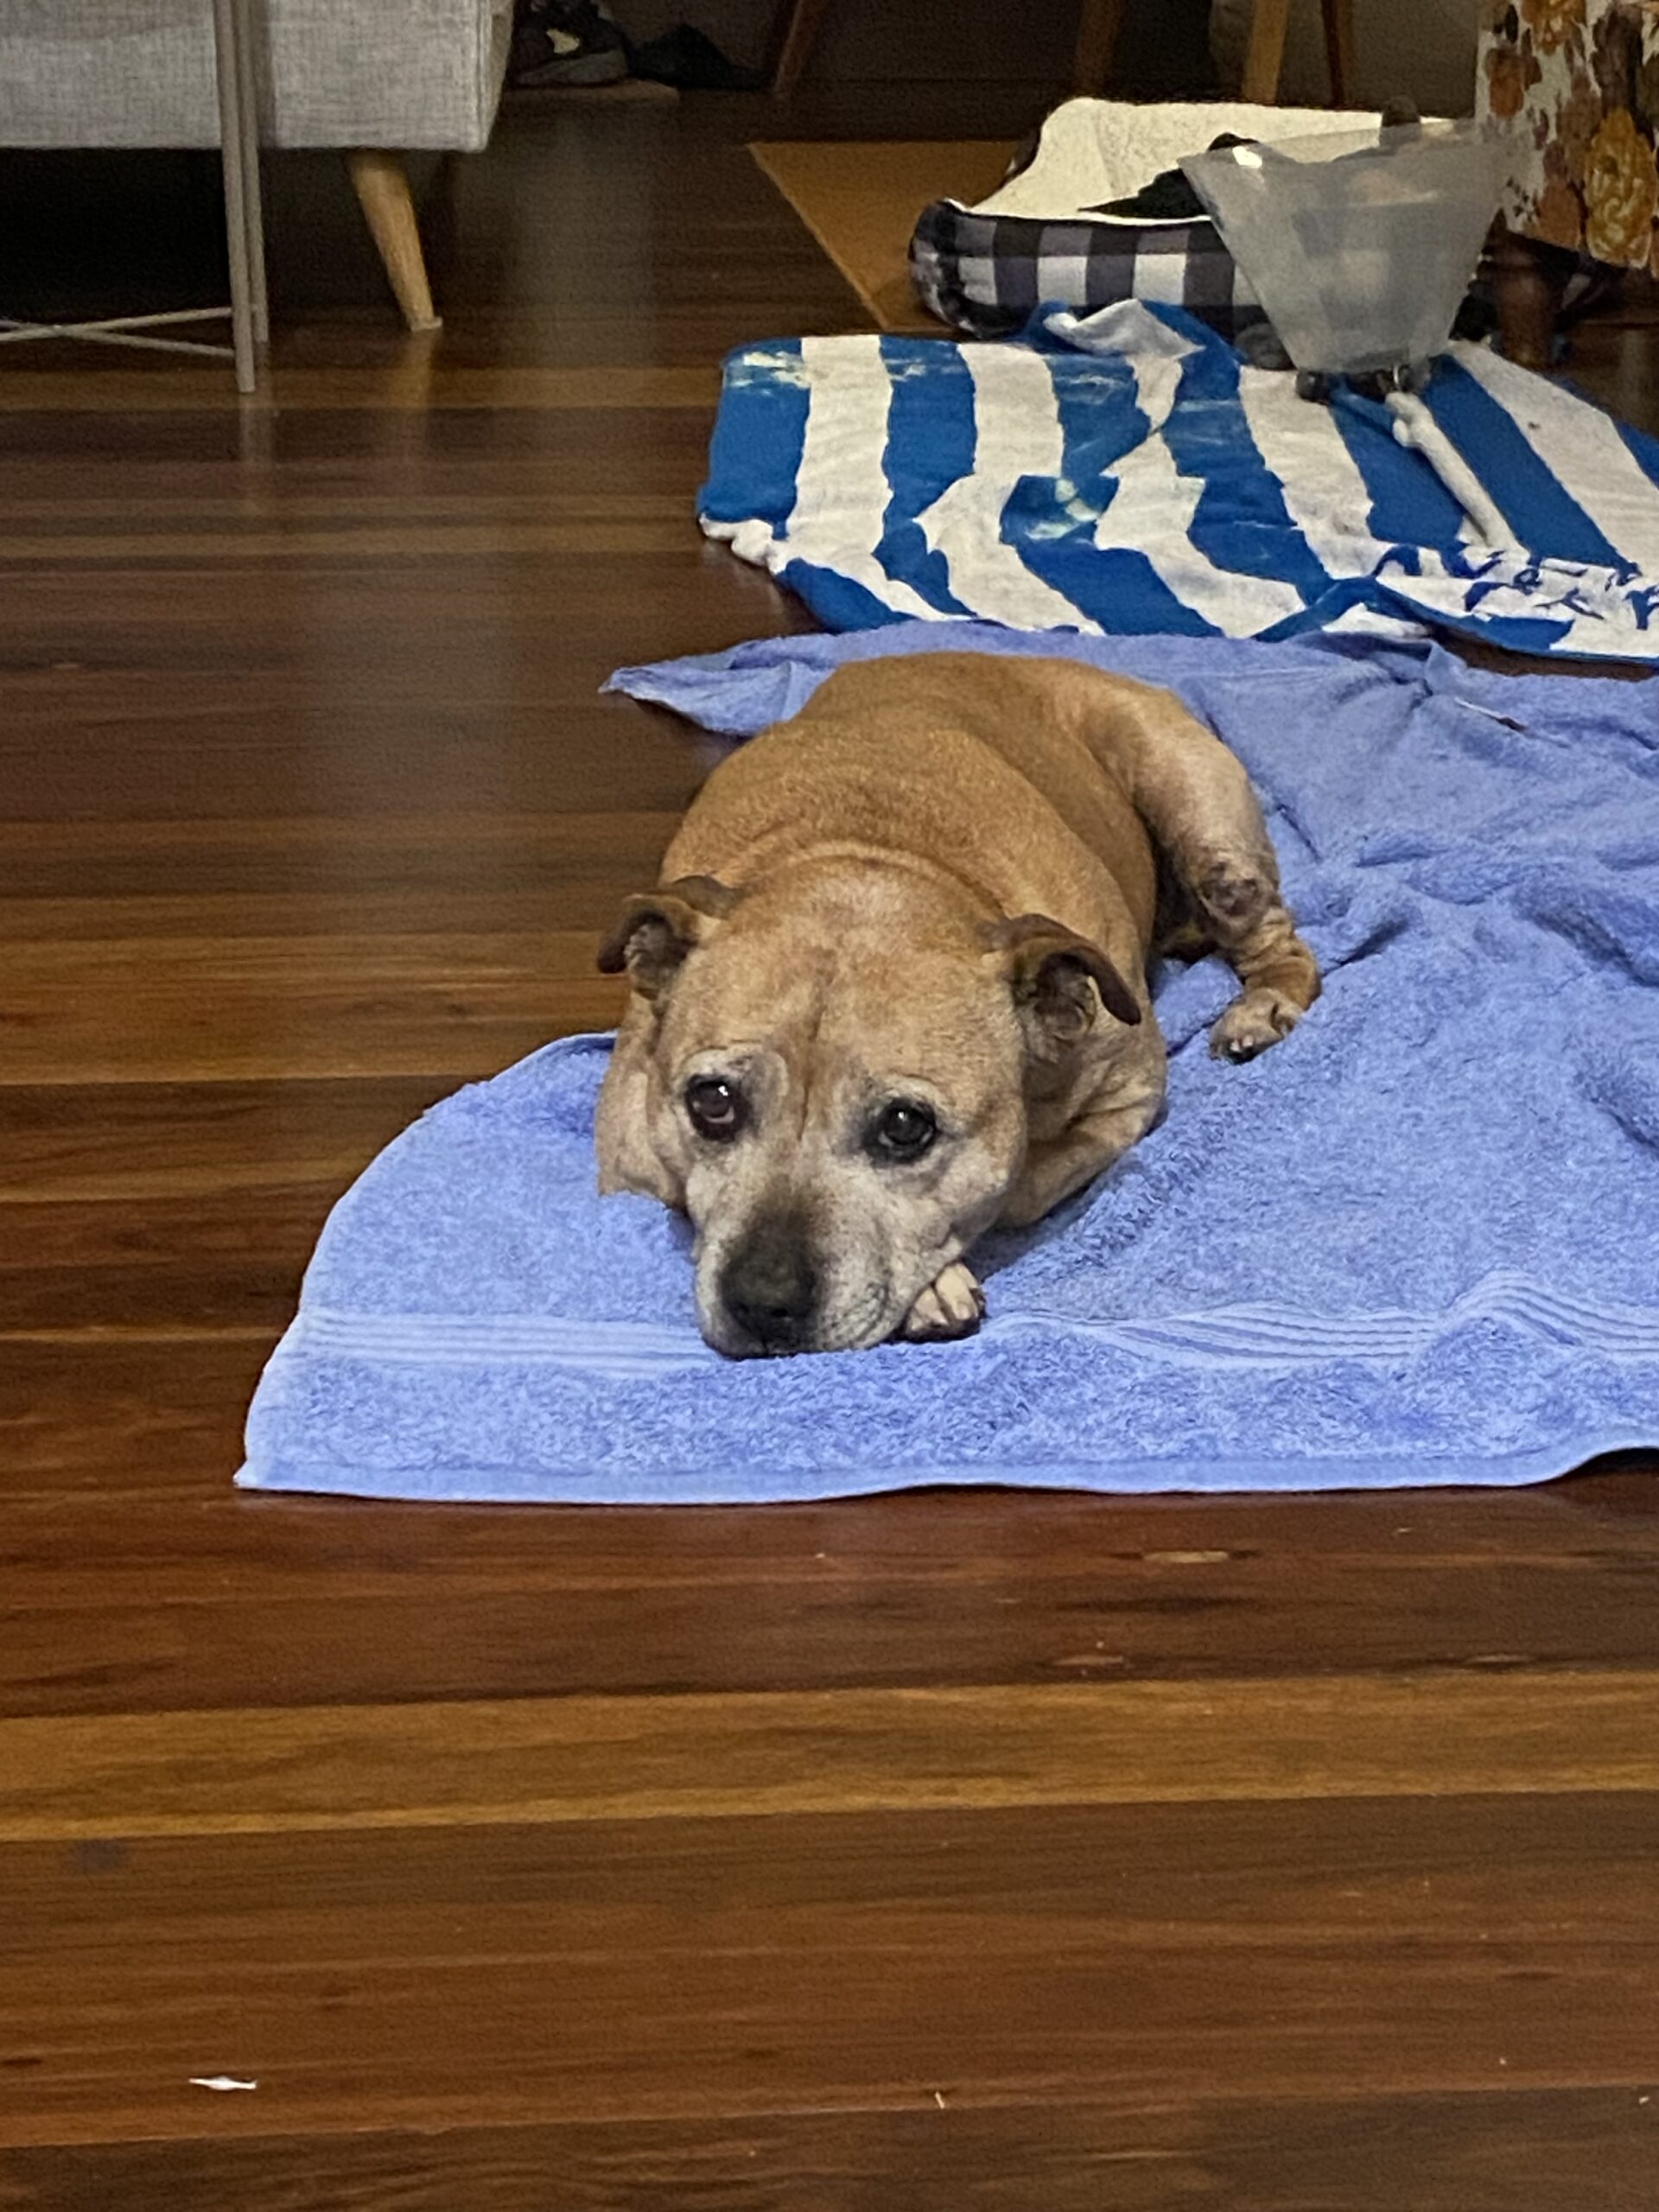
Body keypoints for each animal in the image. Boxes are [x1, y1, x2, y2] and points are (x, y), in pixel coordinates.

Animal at [596, 653, 1318, 1358]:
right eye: (712, 1102)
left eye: (905, 1126)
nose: (762, 1301)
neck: (876, 850)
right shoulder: (626, 1155)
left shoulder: (1126, 1099)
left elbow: (1015, 1189)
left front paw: (933, 1280)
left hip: (1204, 826)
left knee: (1281, 939)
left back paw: (1264, 1007)